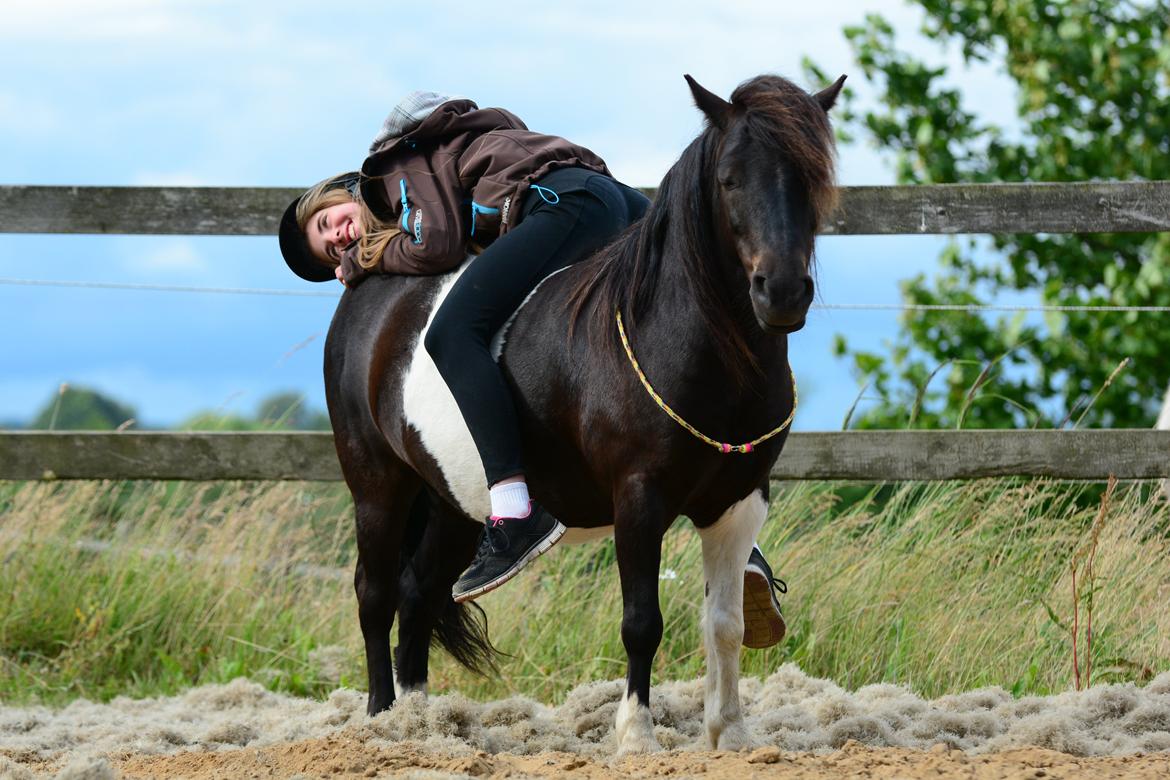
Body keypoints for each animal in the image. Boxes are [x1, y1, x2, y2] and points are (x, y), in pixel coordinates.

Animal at [325, 74, 847, 757]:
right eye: (730, 178)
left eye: (813, 177)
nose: (781, 293)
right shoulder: (639, 500)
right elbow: (642, 623)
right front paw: (636, 735)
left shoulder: (739, 504)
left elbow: (725, 624)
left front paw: (730, 733)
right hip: (377, 485)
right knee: (376, 595)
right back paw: (382, 721)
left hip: (452, 505)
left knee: (417, 595)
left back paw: (420, 724)